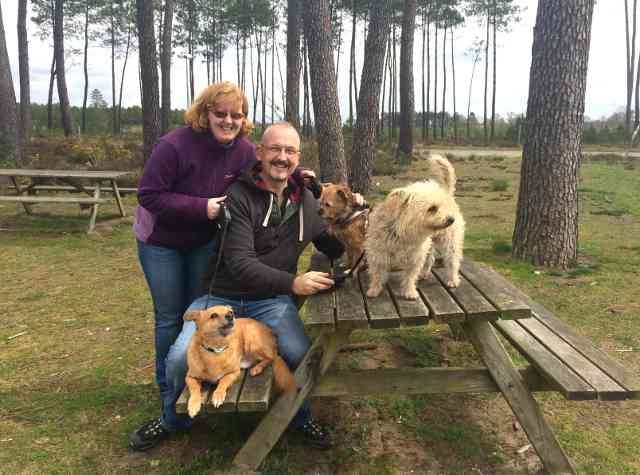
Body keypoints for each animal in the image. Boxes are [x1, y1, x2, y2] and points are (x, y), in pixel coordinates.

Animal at [364, 154, 464, 300]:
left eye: (442, 207)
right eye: (432, 208)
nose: (451, 219)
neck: (401, 232)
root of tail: (447, 193)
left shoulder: (415, 257)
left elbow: (410, 277)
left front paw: (409, 292)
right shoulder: (378, 254)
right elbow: (377, 274)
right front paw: (374, 290)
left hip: (449, 242)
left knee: (452, 261)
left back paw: (453, 280)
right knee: (430, 259)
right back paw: (425, 273)